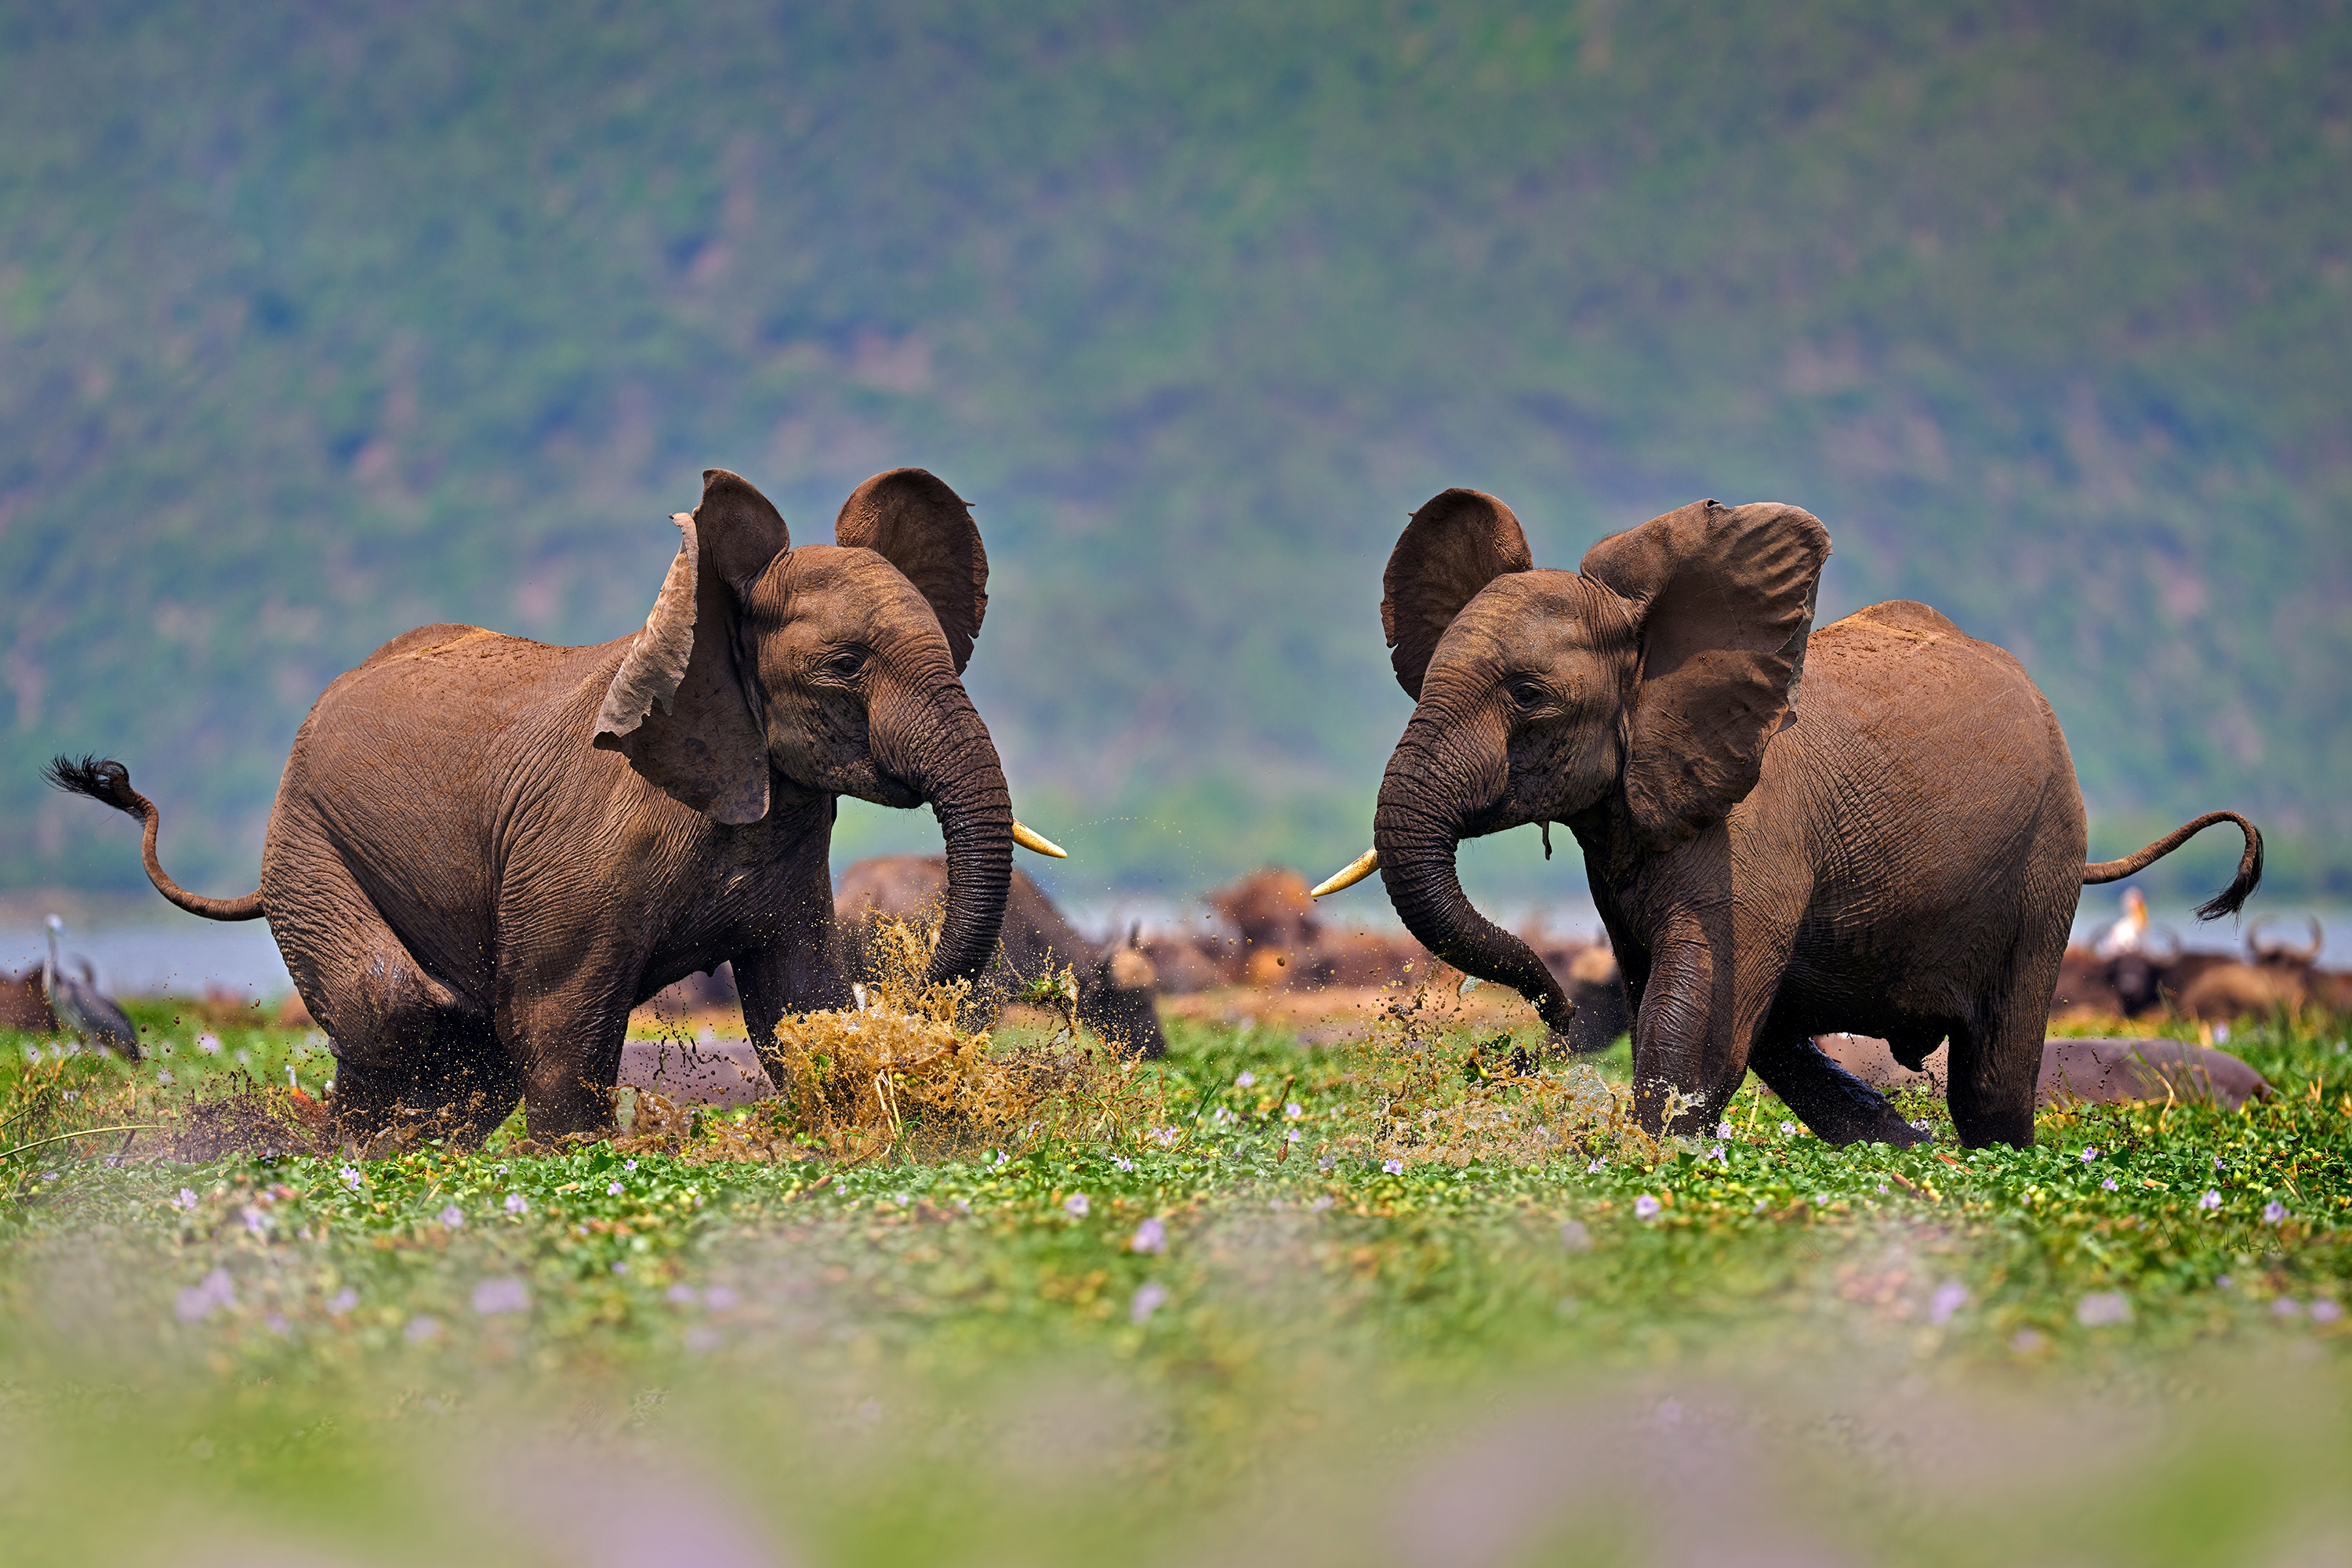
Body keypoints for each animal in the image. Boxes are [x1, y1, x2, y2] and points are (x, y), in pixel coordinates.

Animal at [49, 467, 1065, 1142]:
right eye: (847, 664)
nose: (914, 989)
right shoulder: (581, 850)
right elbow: (556, 1021)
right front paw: (577, 1152)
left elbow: (797, 1005)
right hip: (307, 842)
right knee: (394, 1002)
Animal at [1312, 489, 2263, 1148]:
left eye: (1530, 696)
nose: (1537, 1024)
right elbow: (1676, 1001)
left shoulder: (1753, 834)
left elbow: (1693, 1015)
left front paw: (1647, 1156)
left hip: (2045, 861)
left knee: (1989, 1082)